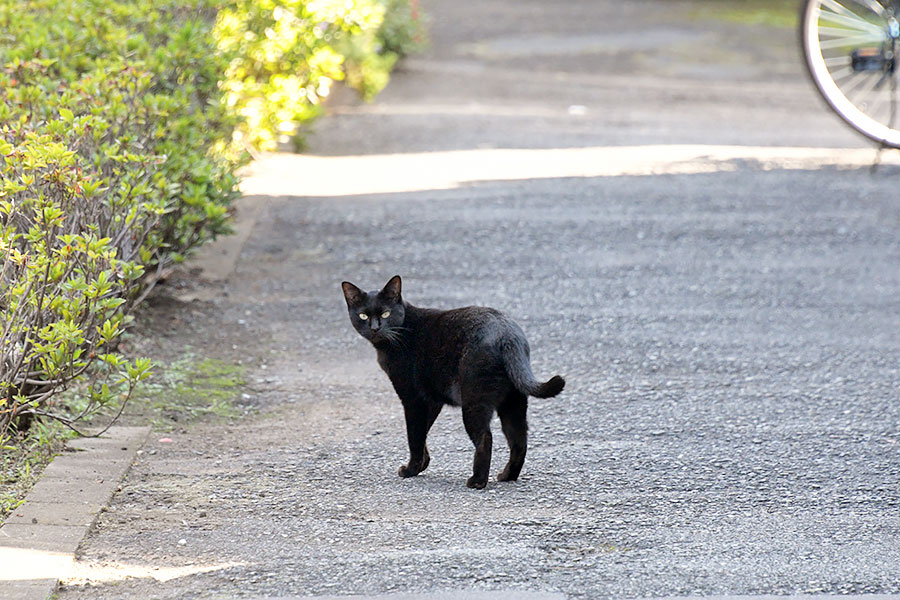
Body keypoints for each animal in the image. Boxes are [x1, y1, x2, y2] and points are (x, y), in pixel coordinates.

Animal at [342, 276, 568, 488]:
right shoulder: (432, 400)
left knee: (486, 438)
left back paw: (477, 481)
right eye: (363, 315)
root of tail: (508, 336)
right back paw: (507, 476)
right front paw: (423, 464)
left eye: (386, 314)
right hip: (513, 402)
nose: (375, 328)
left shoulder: (412, 399)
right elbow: (423, 434)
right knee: (519, 440)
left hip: (474, 402)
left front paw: (411, 469)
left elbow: (414, 436)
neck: (402, 332)